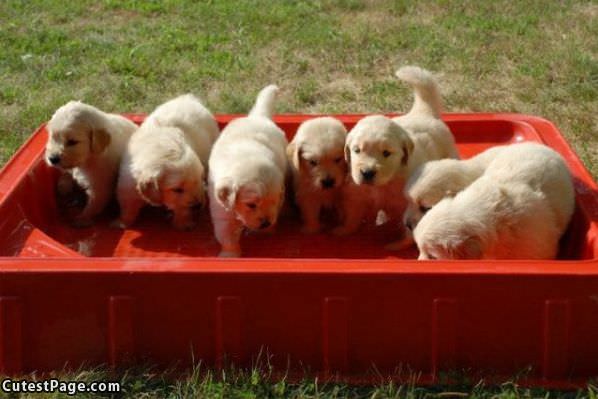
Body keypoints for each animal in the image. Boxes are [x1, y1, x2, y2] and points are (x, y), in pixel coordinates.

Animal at [116, 94, 219, 231]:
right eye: (177, 189)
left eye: (199, 179)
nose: (198, 206)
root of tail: (188, 98)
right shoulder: (127, 184)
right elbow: (128, 207)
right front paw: (122, 223)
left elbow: (182, 209)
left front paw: (182, 224)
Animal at [209, 85, 288, 258]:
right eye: (251, 204)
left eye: (274, 201)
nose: (266, 223)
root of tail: (257, 116)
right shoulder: (222, 210)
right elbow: (226, 236)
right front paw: (229, 255)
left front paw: (268, 231)